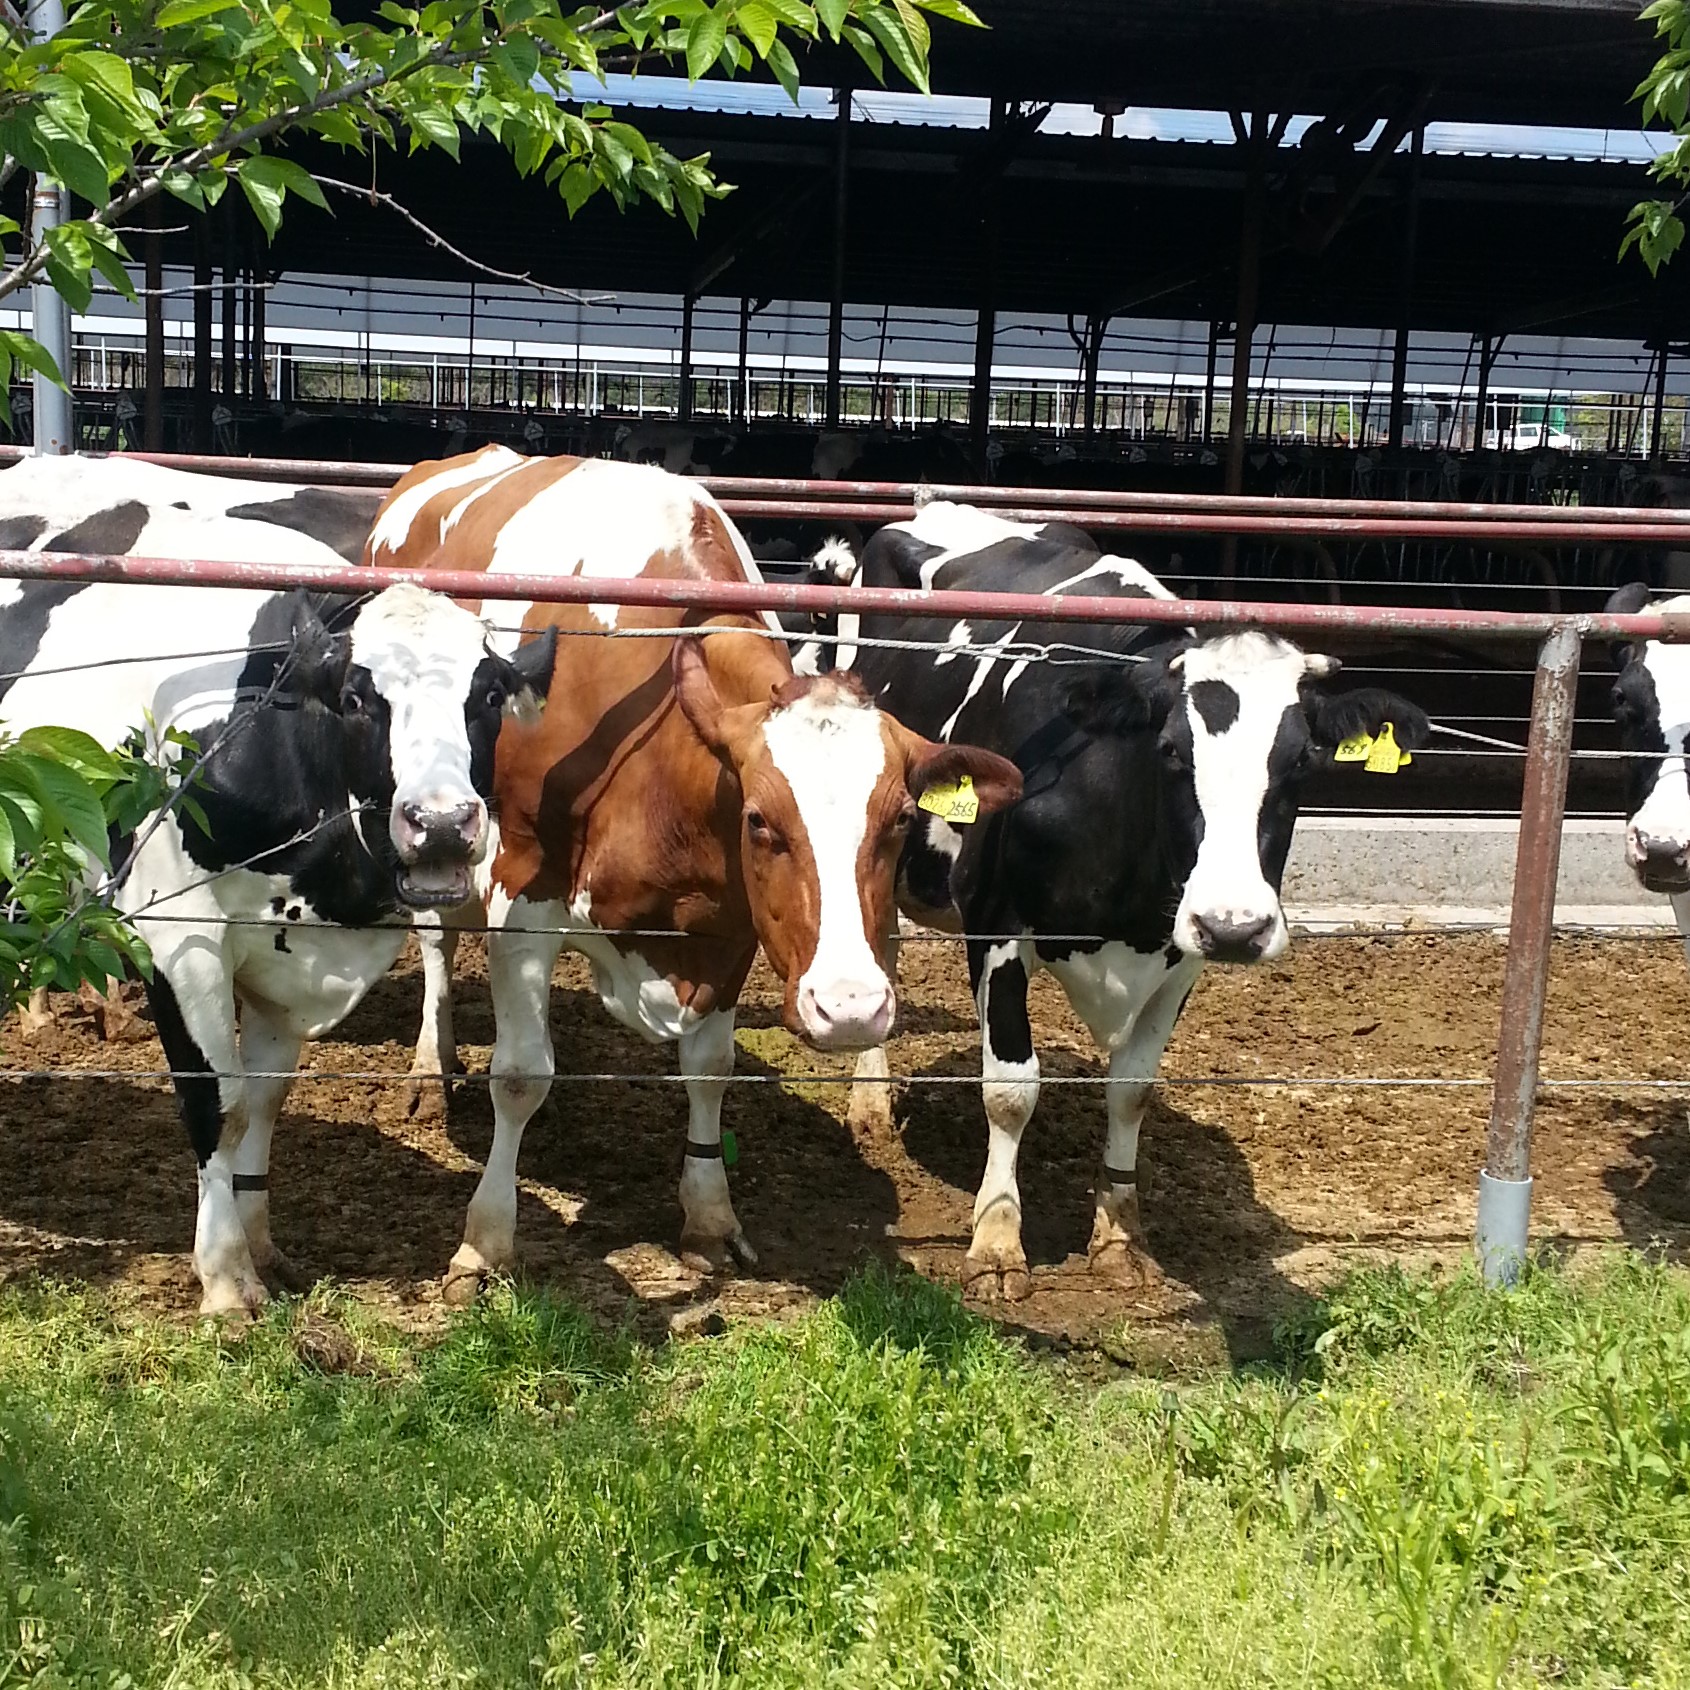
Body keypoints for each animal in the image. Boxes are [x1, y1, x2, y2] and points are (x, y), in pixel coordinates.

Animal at [0, 456, 557, 1311]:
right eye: (359, 698)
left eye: (488, 696)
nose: (440, 823)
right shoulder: (180, 936)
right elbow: (216, 1101)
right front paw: (227, 1275)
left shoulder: (285, 953)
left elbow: (264, 1097)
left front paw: (262, 1241)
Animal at [366, 449, 1014, 1291]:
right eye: (760, 820)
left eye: (901, 818)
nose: (850, 1008)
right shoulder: (524, 890)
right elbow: (518, 1074)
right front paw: (486, 1239)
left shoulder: (730, 924)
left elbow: (709, 1066)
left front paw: (709, 1214)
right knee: (439, 944)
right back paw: (429, 1067)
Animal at [831, 496, 1426, 1291]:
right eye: (1170, 750)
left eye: (1302, 760)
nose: (1237, 927)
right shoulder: (996, 922)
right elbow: (1010, 1087)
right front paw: (997, 1239)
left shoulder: (1182, 953)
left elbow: (1132, 1087)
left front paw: (1118, 1232)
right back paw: (871, 1102)